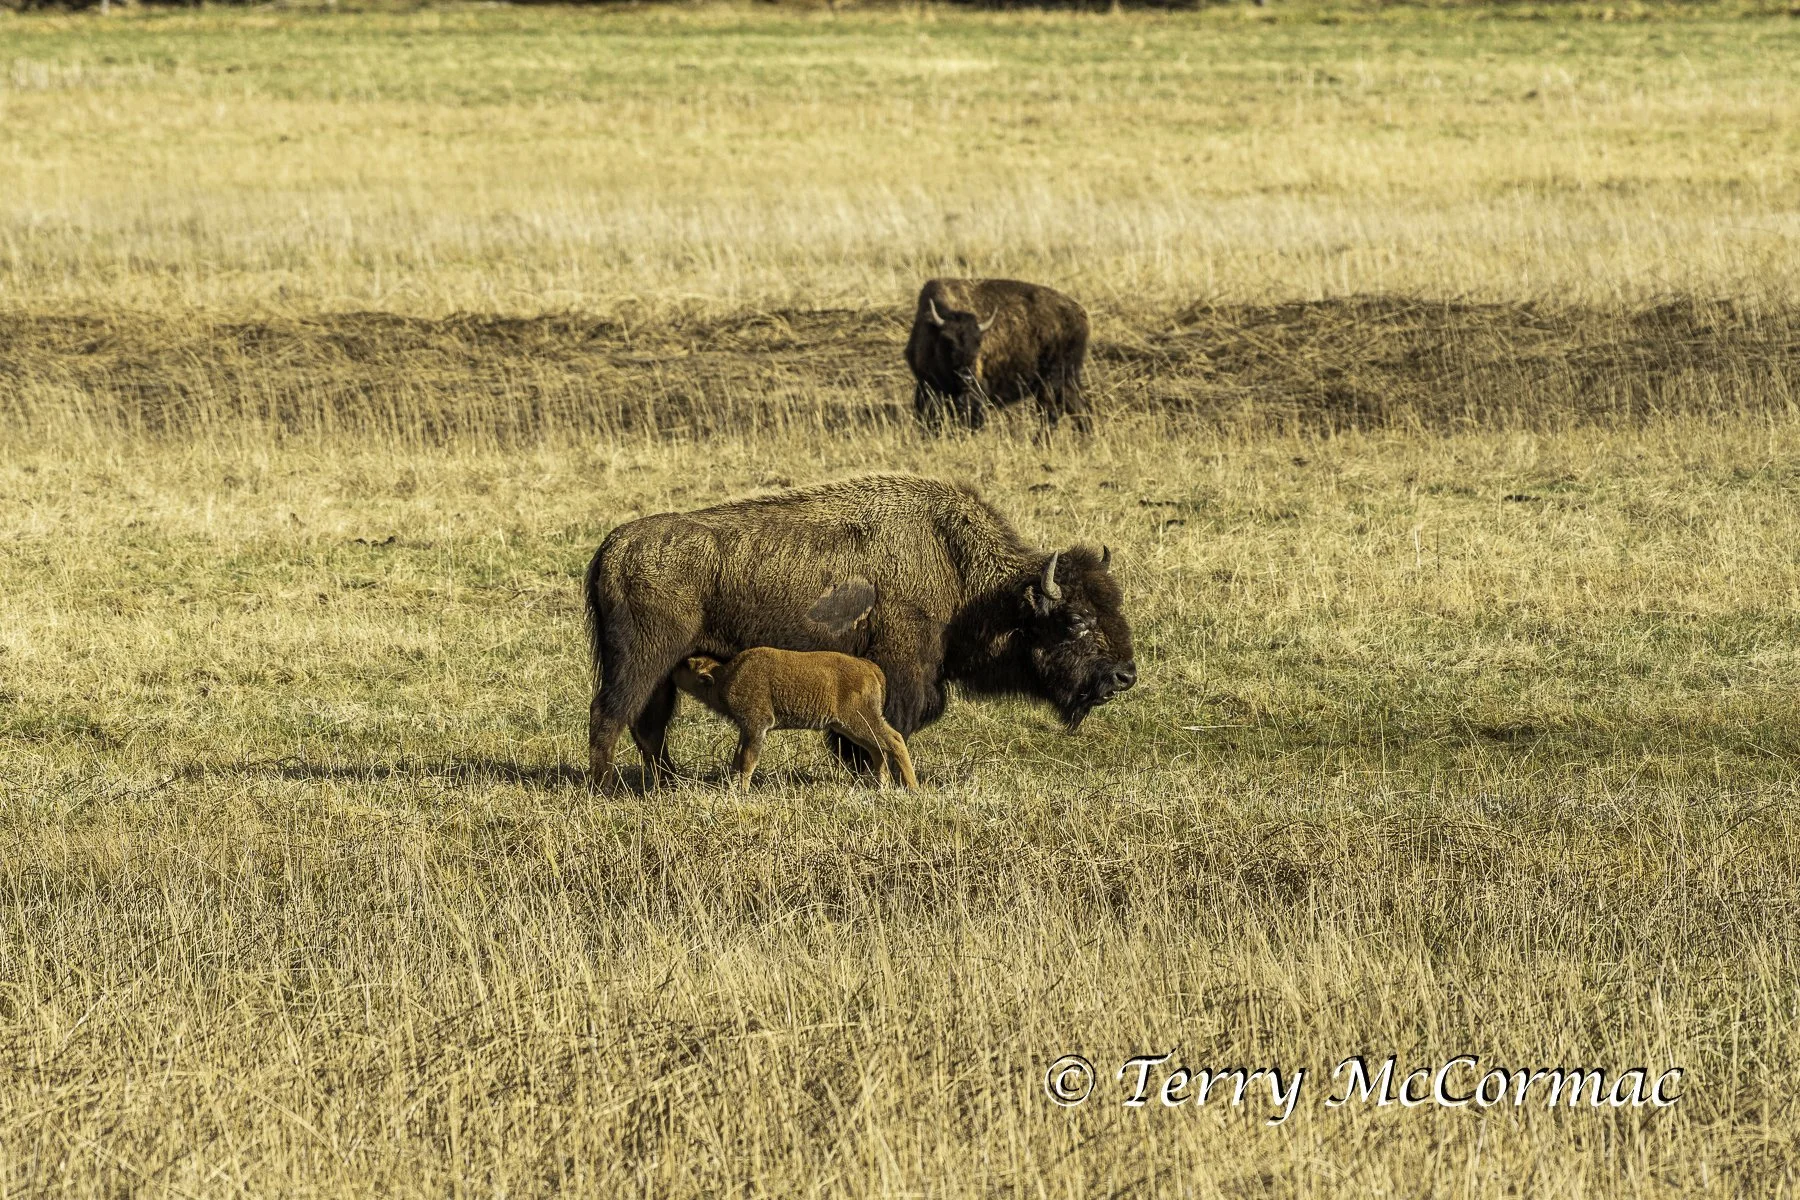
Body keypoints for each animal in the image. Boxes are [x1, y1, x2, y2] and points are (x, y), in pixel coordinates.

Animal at [584, 473, 1137, 789]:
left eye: (1115, 607)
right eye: (1075, 622)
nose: (1124, 676)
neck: (961, 571)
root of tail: (613, 546)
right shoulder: (903, 674)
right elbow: (883, 731)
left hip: (661, 668)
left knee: (648, 724)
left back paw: (666, 784)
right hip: (640, 660)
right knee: (611, 714)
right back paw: (607, 787)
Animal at [904, 277, 1092, 433]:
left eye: (978, 342)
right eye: (947, 340)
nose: (967, 376)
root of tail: (1080, 313)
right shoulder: (927, 385)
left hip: (1050, 382)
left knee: (1051, 414)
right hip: (1067, 379)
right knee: (1078, 408)